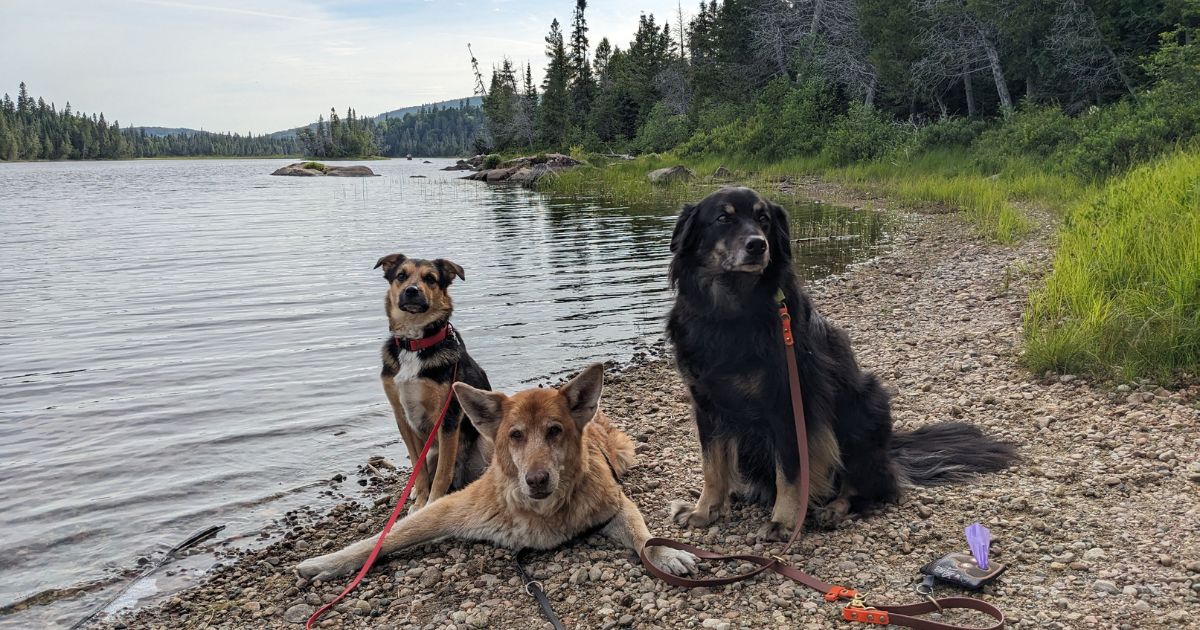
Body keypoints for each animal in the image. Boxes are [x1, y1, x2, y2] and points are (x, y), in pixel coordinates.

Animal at [294, 362, 700, 580]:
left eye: (555, 431)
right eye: (515, 435)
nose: (537, 479)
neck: (541, 513)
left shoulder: (614, 505)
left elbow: (643, 536)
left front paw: (666, 554)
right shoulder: (450, 509)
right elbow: (388, 537)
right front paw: (327, 562)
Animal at [372, 253, 489, 508]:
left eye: (431, 279)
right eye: (401, 276)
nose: (412, 291)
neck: (415, 345)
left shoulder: (448, 417)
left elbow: (443, 473)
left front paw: (432, 502)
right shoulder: (402, 416)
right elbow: (420, 469)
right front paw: (419, 500)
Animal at [662, 184, 1017, 537]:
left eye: (764, 220)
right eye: (723, 218)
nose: (758, 245)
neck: (729, 313)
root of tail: (891, 452)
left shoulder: (789, 405)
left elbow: (789, 471)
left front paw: (784, 521)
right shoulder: (706, 405)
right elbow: (712, 466)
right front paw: (705, 509)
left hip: (865, 411)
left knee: (868, 488)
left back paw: (835, 508)